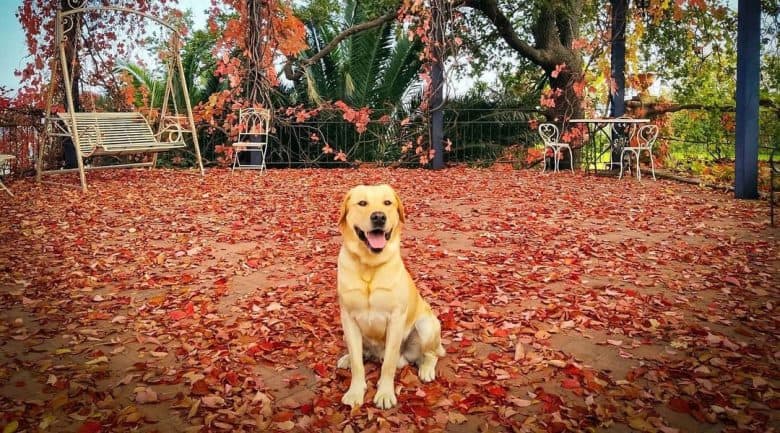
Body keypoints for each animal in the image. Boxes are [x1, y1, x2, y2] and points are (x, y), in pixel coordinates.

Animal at [336, 184, 444, 406]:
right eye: (362, 203)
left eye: (387, 203)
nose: (379, 217)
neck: (369, 266)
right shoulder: (348, 318)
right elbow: (358, 363)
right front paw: (355, 392)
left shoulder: (396, 319)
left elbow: (388, 364)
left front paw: (385, 393)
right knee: (360, 353)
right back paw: (347, 358)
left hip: (426, 325)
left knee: (430, 354)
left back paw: (426, 369)